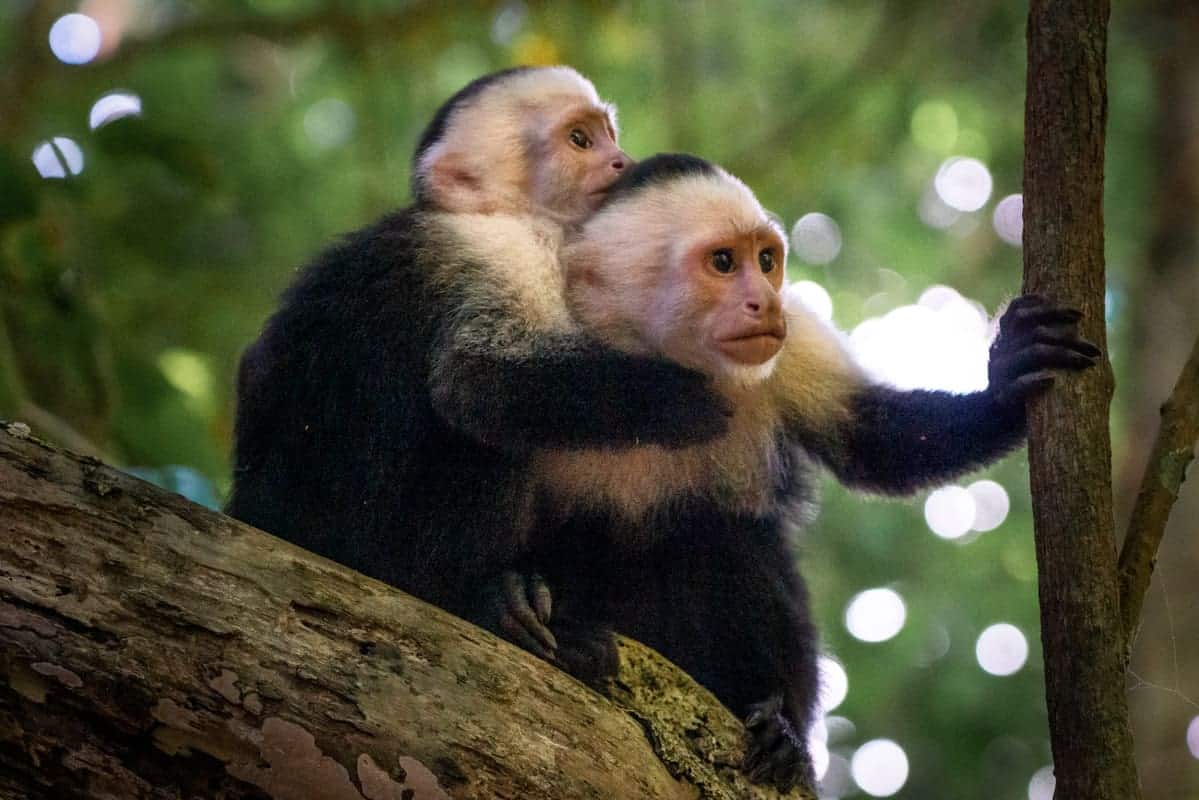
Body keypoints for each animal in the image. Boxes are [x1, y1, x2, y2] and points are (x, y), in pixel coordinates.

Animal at [226, 70, 732, 662]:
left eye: (609, 134)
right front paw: (684, 400)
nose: (622, 162)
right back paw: (482, 600)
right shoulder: (508, 248)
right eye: (580, 140)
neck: (491, 213)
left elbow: (256, 365)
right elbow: (476, 385)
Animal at [500, 153, 1102, 792]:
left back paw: (778, 729)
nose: (766, 302)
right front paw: (508, 598)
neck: (660, 361)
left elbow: (875, 443)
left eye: (766, 261)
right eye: (723, 262)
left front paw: (1007, 384)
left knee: (727, 541)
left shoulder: (791, 341)